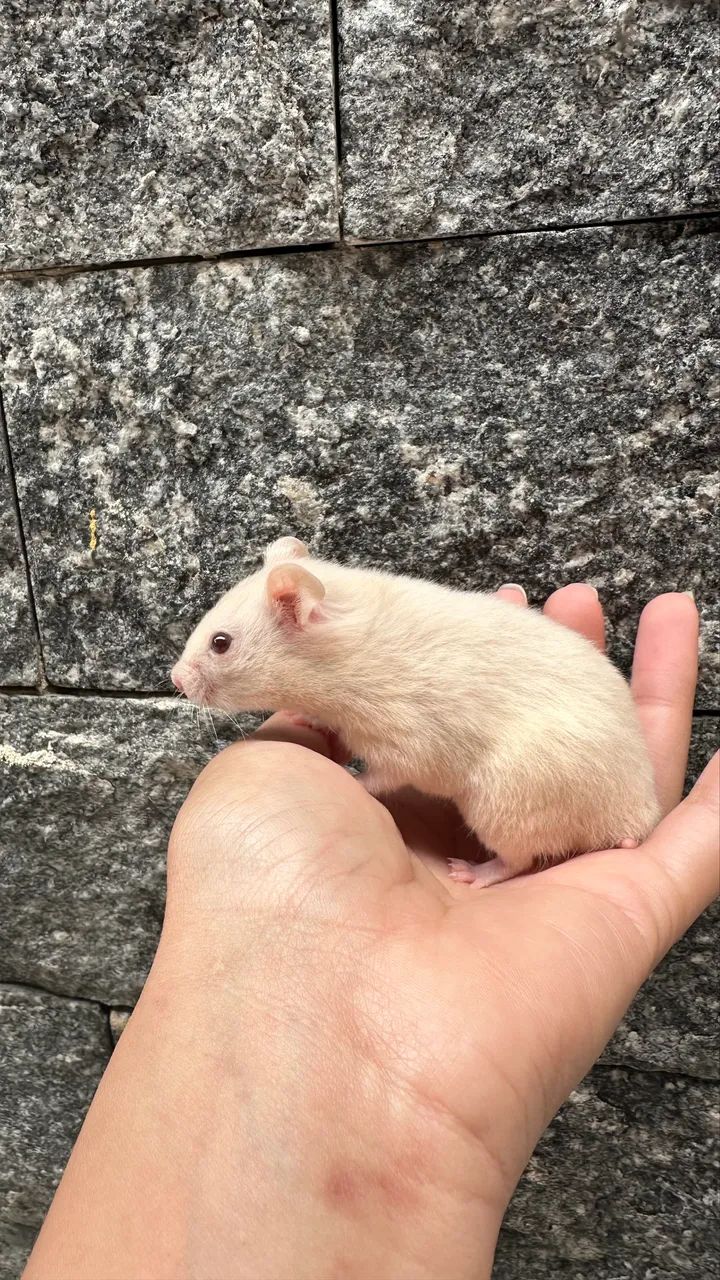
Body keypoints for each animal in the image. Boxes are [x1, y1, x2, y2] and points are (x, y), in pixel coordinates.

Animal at [171, 536, 660, 887]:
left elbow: (383, 775)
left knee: (518, 859)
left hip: (506, 804)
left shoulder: (405, 741)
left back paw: (472, 873)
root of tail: (639, 812)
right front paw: (304, 718)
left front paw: (351, 778)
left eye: (220, 643)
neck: (337, 654)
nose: (174, 681)